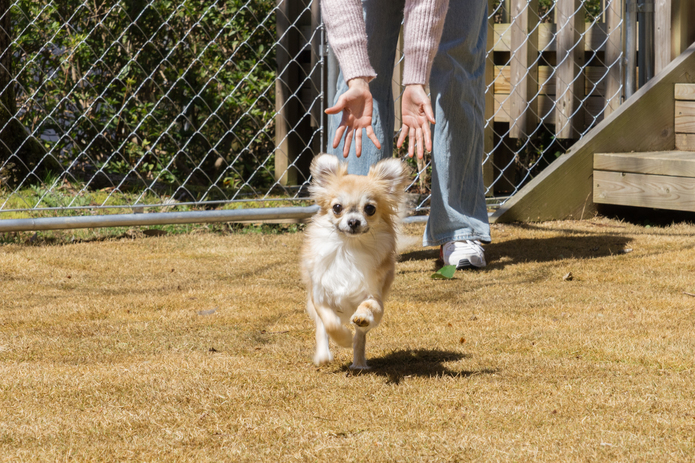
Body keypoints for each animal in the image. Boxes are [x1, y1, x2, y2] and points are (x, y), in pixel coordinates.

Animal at [302, 155, 410, 370]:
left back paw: (358, 363)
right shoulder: (320, 298)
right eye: (337, 208)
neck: (348, 250)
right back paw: (323, 354)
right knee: (322, 329)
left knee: (360, 338)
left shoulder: (375, 297)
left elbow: (368, 307)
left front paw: (361, 318)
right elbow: (330, 323)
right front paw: (342, 339)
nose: (353, 222)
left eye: (370, 209)